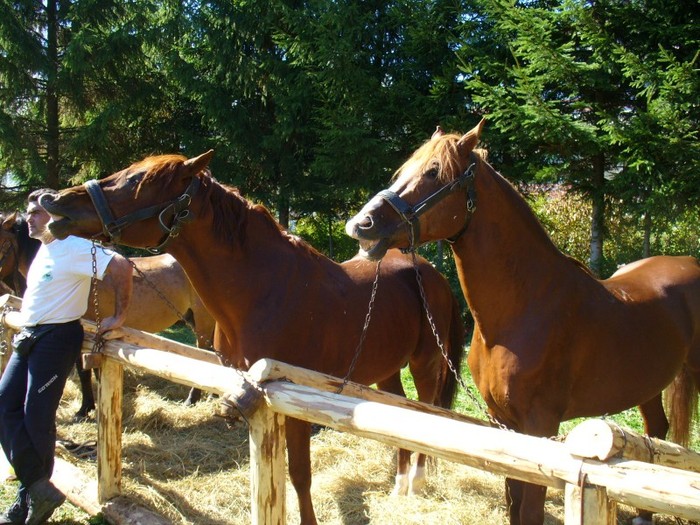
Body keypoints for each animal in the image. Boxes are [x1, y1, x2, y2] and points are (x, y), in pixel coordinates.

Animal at [0, 211, 216, 416]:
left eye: (4, 244)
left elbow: (84, 371)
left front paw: (85, 408)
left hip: (203, 320)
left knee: (204, 350)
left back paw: (192, 398)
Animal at [37, 151, 464, 524]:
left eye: (135, 180)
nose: (54, 201)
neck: (264, 290)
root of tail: (432, 274)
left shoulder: (288, 399)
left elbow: (300, 475)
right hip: (386, 369)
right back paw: (399, 485)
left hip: (424, 363)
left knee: (426, 412)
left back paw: (417, 483)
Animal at [346, 119, 700, 524]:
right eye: (402, 171)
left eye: (434, 171)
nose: (361, 225)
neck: (524, 308)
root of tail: (688, 262)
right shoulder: (506, 422)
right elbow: (514, 499)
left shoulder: (540, 425)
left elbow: (529, 505)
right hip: (647, 385)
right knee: (656, 430)